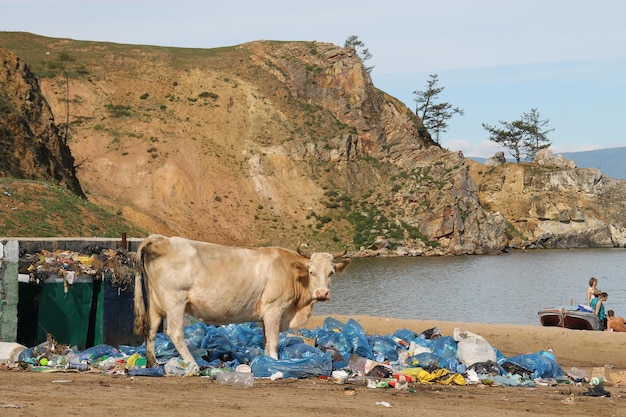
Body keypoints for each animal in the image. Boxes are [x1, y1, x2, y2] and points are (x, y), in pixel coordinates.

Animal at [132, 232, 348, 372]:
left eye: (332, 272)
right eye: (311, 272)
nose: (322, 292)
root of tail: (161, 239)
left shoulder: (266, 315)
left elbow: (266, 340)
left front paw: (266, 363)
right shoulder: (274, 308)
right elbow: (274, 341)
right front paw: (275, 362)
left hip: (155, 302)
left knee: (151, 330)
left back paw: (152, 363)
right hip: (175, 301)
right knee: (175, 333)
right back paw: (192, 365)